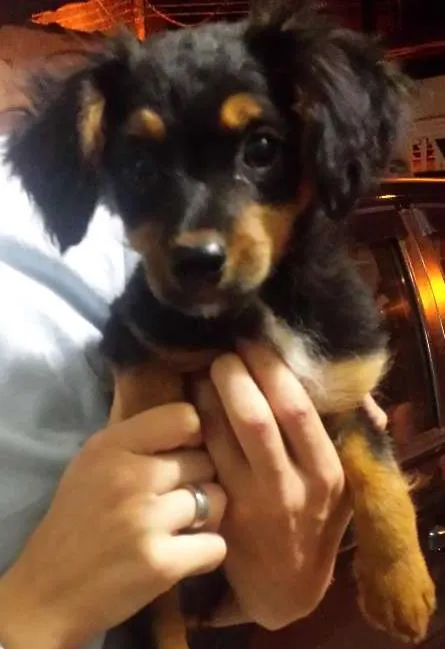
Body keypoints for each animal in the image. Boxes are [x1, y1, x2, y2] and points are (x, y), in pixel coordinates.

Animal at [6, 0, 436, 646]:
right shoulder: (136, 330)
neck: (251, 310)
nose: (197, 262)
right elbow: (152, 388)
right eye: (138, 166)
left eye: (260, 147)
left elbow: (377, 464)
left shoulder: (342, 379)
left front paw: (400, 586)